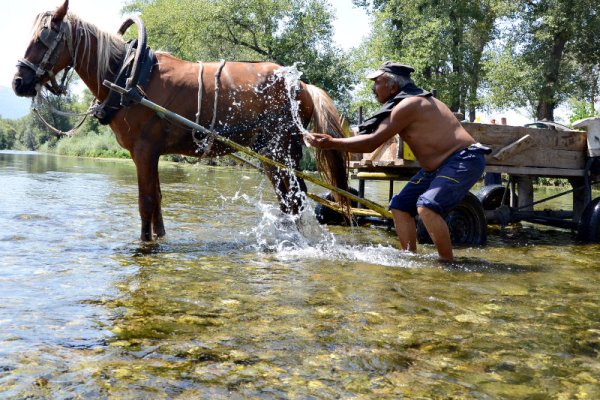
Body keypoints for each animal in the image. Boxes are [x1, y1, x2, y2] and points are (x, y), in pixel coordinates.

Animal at [12, 0, 346, 241]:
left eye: (43, 39)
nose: (18, 82)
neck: (128, 76)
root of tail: (301, 85)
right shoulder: (152, 154)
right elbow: (158, 201)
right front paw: (159, 239)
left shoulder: (144, 151)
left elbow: (146, 202)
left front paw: (145, 244)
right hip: (276, 155)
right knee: (292, 202)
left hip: (278, 152)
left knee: (294, 202)